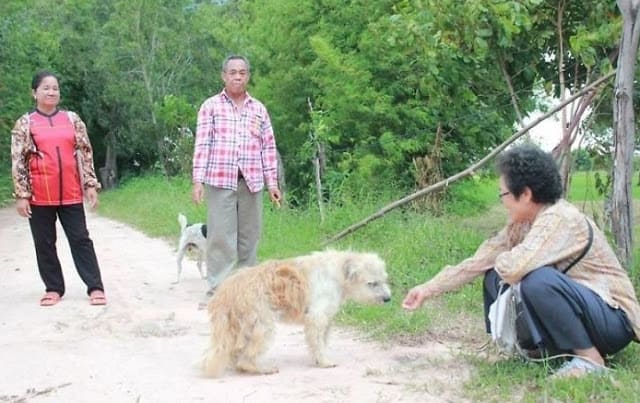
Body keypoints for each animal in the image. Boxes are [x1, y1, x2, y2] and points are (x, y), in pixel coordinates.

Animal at [202, 251, 390, 378]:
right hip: (263, 325)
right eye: (372, 283)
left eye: (384, 280)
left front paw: (318, 359)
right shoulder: (317, 317)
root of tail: (226, 290)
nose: (388, 299)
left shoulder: (324, 320)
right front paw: (324, 362)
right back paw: (260, 369)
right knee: (246, 358)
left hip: (241, 326)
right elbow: (318, 342)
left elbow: (321, 341)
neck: (339, 272)